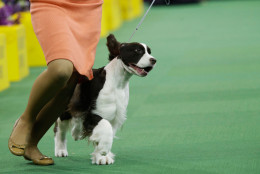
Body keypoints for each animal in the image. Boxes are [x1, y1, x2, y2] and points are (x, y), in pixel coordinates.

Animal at [53, 33, 156, 164]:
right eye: (138, 51)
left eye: (149, 51)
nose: (154, 60)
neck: (117, 82)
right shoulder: (94, 112)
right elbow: (105, 127)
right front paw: (103, 151)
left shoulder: (114, 114)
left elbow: (106, 131)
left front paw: (102, 157)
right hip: (66, 108)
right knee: (60, 127)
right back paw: (60, 150)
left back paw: (75, 133)